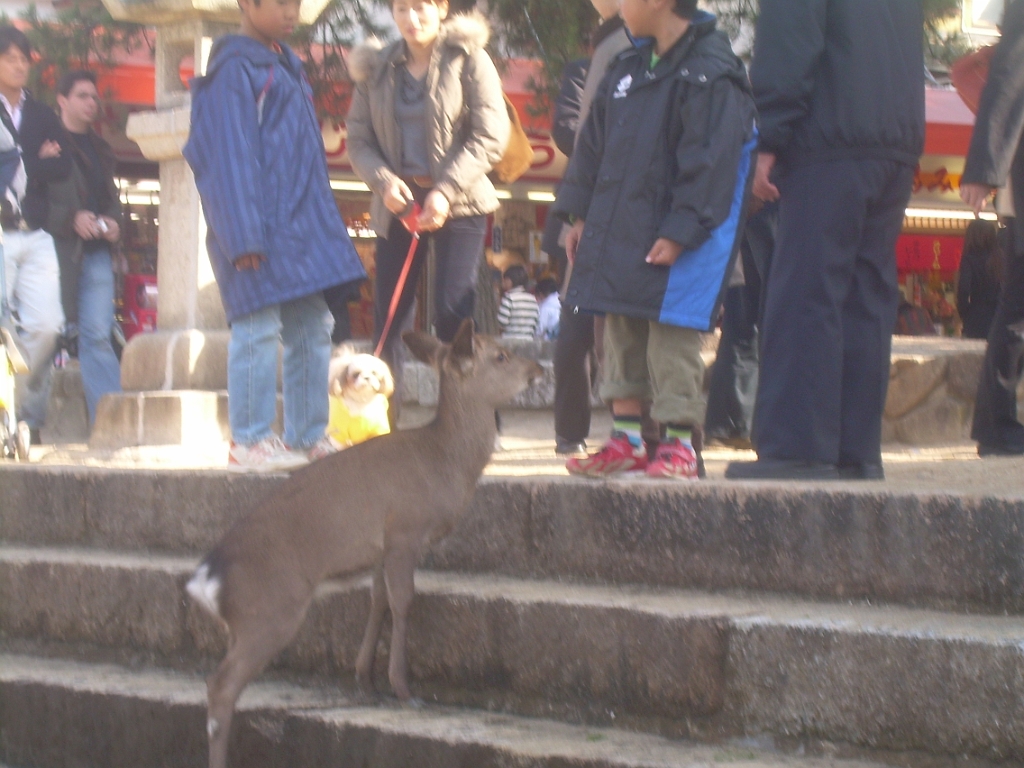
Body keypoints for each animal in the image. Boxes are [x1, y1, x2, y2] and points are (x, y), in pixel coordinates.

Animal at [188, 321, 548, 768]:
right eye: (500, 355)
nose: (539, 369)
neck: (444, 465)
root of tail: (206, 579)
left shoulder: (379, 550)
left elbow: (378, 601)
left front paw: (365, 679)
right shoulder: (405, 531)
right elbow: (404, 601)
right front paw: (404, 690)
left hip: (241, 625)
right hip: (270, 611)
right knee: (220, 686)